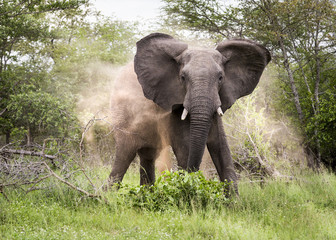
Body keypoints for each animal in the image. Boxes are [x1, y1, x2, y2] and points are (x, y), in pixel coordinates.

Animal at [107, 32, 270, 193]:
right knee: (124, 154)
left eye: (220, 78)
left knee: (147, 155)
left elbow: (222, 148)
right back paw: (107, 195)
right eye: (183, 78)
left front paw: (233, 200)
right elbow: (185, 148)